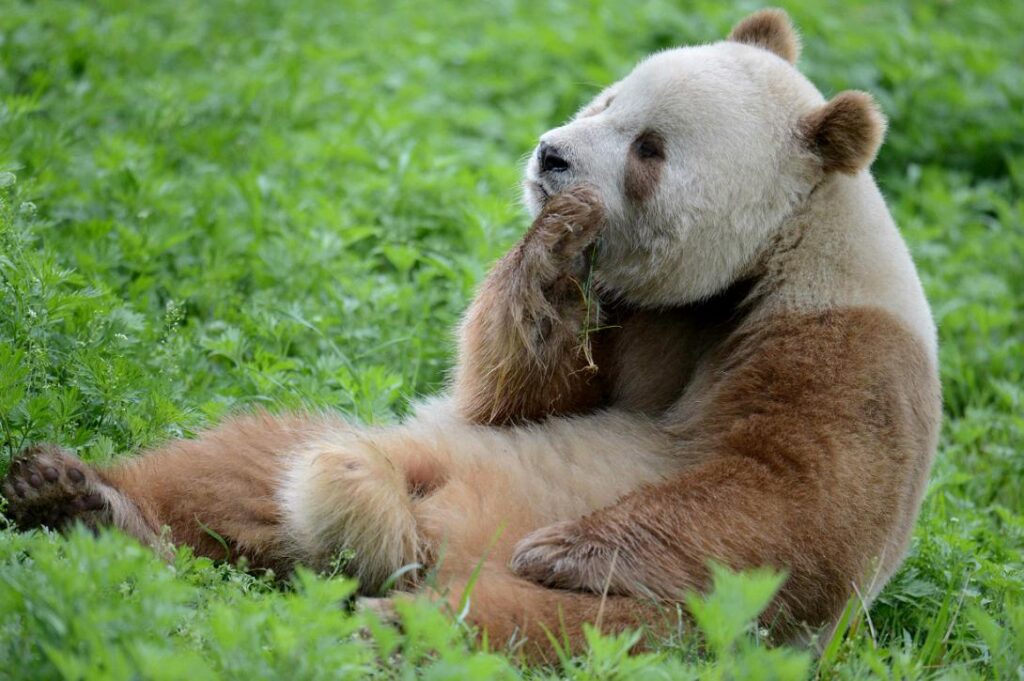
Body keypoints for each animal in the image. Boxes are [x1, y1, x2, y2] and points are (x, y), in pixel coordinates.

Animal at [2, 9, 940, 662]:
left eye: (649, 147)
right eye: (608, 97)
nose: (552, 156)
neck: (758, 260)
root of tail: (417, 545)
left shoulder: (843, 346)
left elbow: (790, 499)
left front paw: (566, 546)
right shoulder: (633, 315)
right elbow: (515, 396)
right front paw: (551, 245)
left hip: (677, 619)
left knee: (549, 627)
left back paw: (390, 625)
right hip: (414, 448)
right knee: (244, 462)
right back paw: (80, 500)